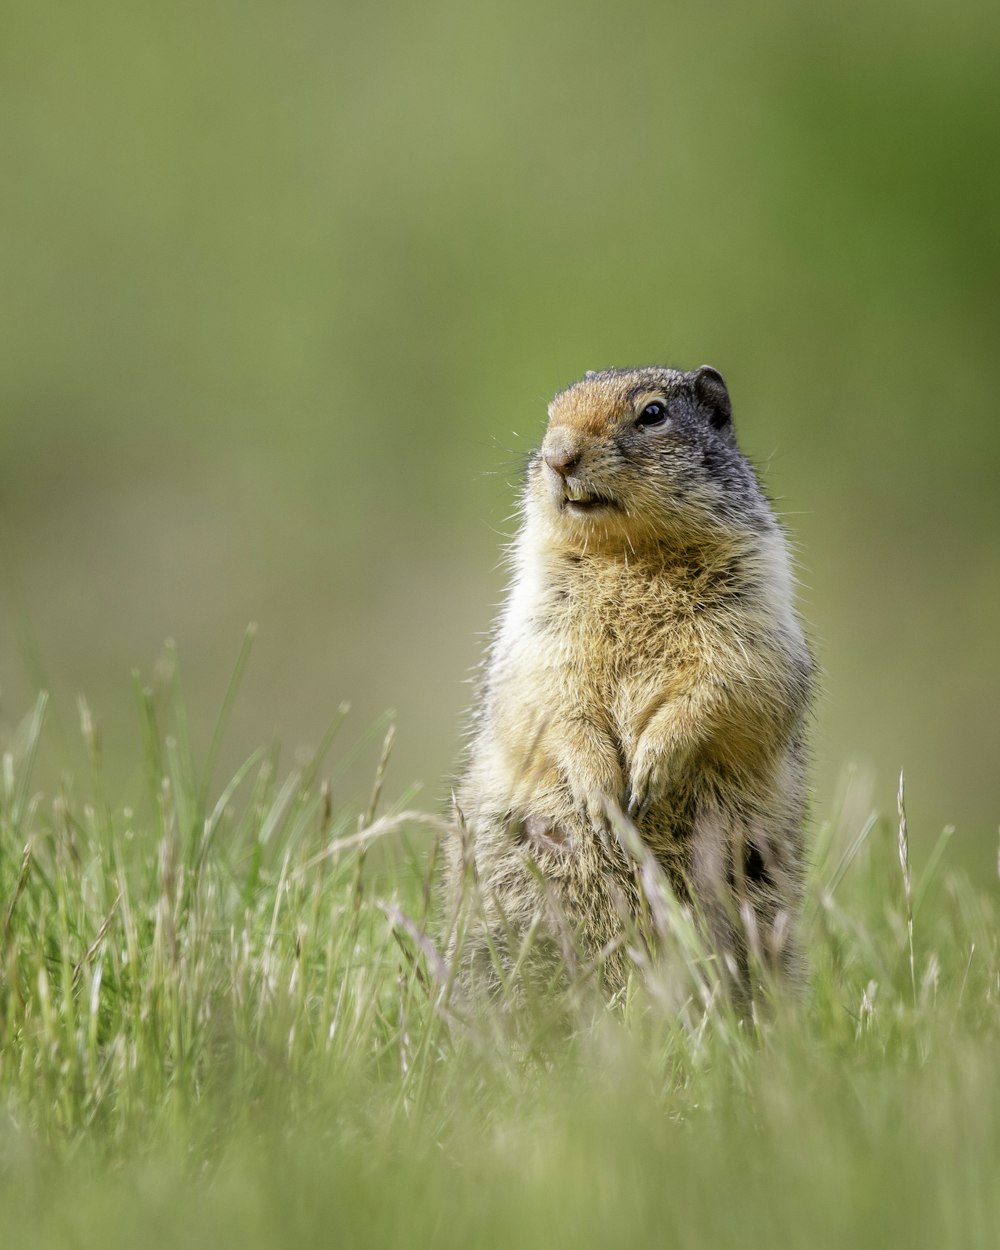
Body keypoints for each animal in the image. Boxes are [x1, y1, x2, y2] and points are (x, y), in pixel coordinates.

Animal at [445, 365, 810, 1005]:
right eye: (550, 413)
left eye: (653, 413)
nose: (557, 456)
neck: (628, 554)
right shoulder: (537, 625)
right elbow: (548, 696)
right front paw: (600, 789)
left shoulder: (754, 611)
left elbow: (727, 685)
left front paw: (651, 767)